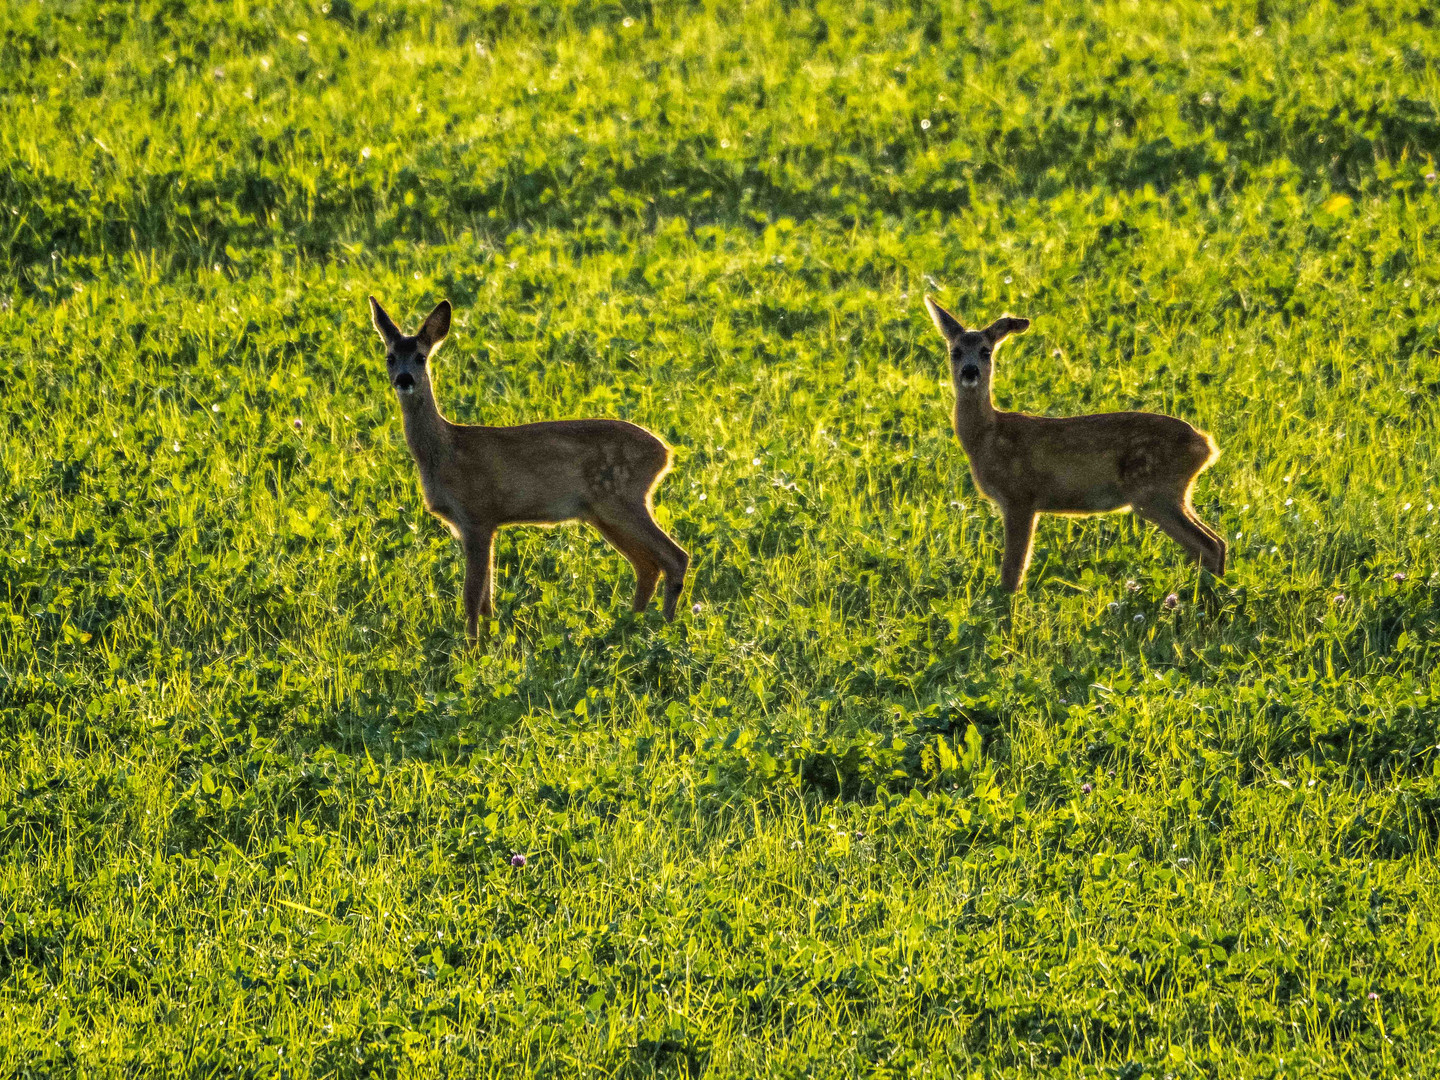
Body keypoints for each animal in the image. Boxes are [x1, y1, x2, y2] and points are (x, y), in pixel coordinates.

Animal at [368, 293, 688, 642]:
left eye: (421, 357)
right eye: (389, 357)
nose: (404, 379)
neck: (446, 451)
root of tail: (665, 454)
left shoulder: (478, 515)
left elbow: (472, 596)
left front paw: (471, 649)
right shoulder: (475, 523)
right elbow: (487, 598)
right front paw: (490, 641)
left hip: (622, 497)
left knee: (675, 556)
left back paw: (665, 630)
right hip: (602, 513)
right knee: (647, 565)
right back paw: (631, 629)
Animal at [921, 296, 1226, 593]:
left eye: (986, 351)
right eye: (955, 351)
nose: (970, 371)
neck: (988, 436)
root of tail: (1206, 446)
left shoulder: (1020, 495)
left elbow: (1013, 570)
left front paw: (1006, 604)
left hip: (1154, 491)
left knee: (1209, 545)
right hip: (1173, 493)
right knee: (1218, 542)